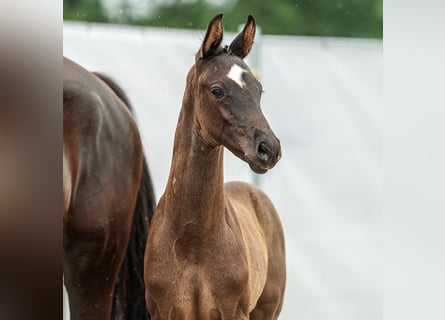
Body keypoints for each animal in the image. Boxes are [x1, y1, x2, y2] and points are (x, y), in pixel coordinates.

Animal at [144, 13, 286, 318]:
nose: (269, 149)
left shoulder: (234, 311)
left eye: (258, 90)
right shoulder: (164, 311)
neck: (192, 241)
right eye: (217, 90)